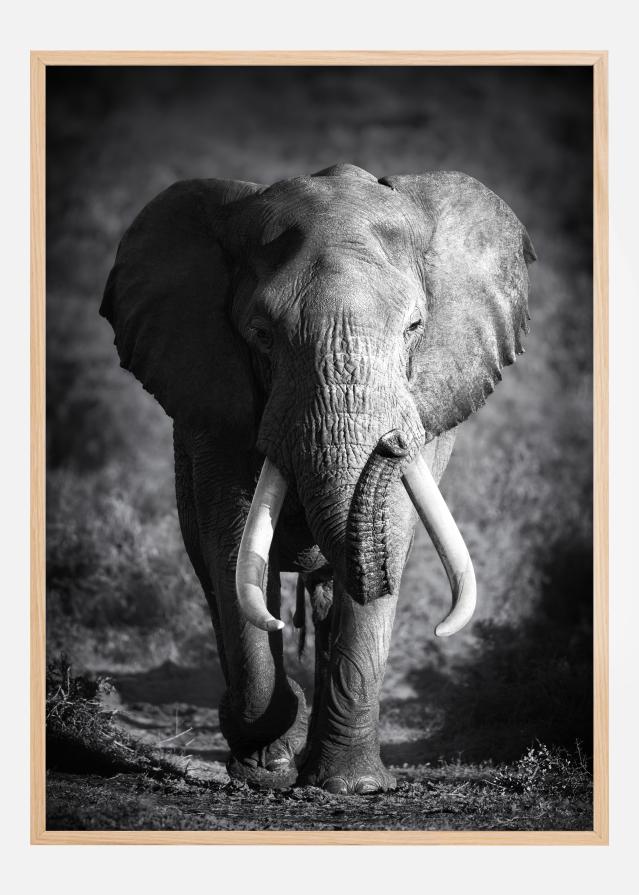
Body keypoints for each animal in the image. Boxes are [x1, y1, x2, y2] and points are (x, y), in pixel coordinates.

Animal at [101, 163, 535, 794]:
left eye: (415, 327)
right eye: (261, 334)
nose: (392, 442)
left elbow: (390, 534)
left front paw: (352, 787)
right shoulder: (213, 404)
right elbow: (231, 541)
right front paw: (265, 763)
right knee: (214, 574)